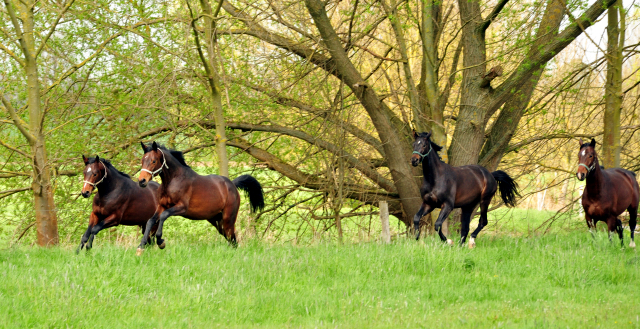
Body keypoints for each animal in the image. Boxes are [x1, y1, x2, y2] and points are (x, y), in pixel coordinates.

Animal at [135, 142, 264, 254]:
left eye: (153, 161)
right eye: (142, 160)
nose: (142, 181)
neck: (174, 180)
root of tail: (232, 184)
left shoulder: (181, 208)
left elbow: (163, 216)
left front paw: (161, 242)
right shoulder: (162, 206)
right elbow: (151, 220)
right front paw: (141, 246)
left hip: (228, 219)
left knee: (232, 238)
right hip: (217, 221)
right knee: (231, 239)